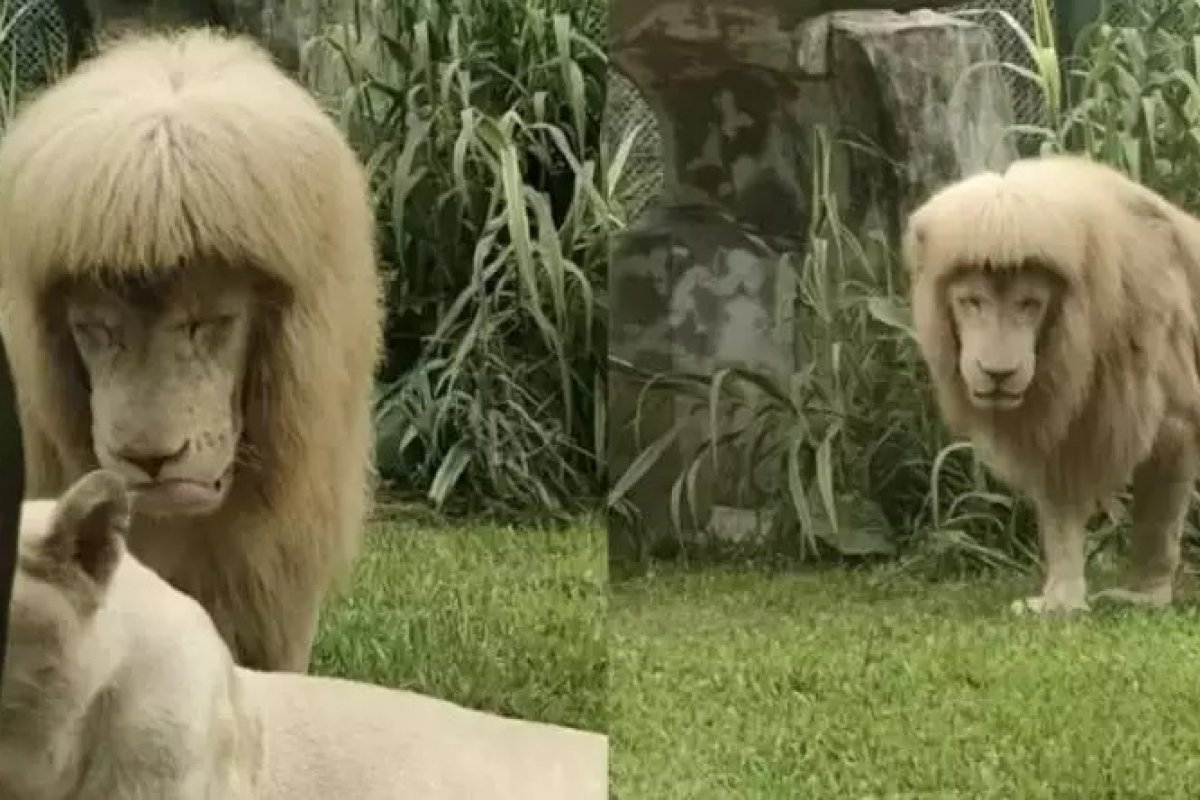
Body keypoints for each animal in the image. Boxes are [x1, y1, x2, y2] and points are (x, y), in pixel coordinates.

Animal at [904, 154, 1200, 615]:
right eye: (972, 302)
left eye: (1029, 304)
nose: (998, 373)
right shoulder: (1054, 426)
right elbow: (1060, 521)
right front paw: (1061, 601)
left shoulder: (1174, 420)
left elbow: (1157, 523)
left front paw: (1145, 597)